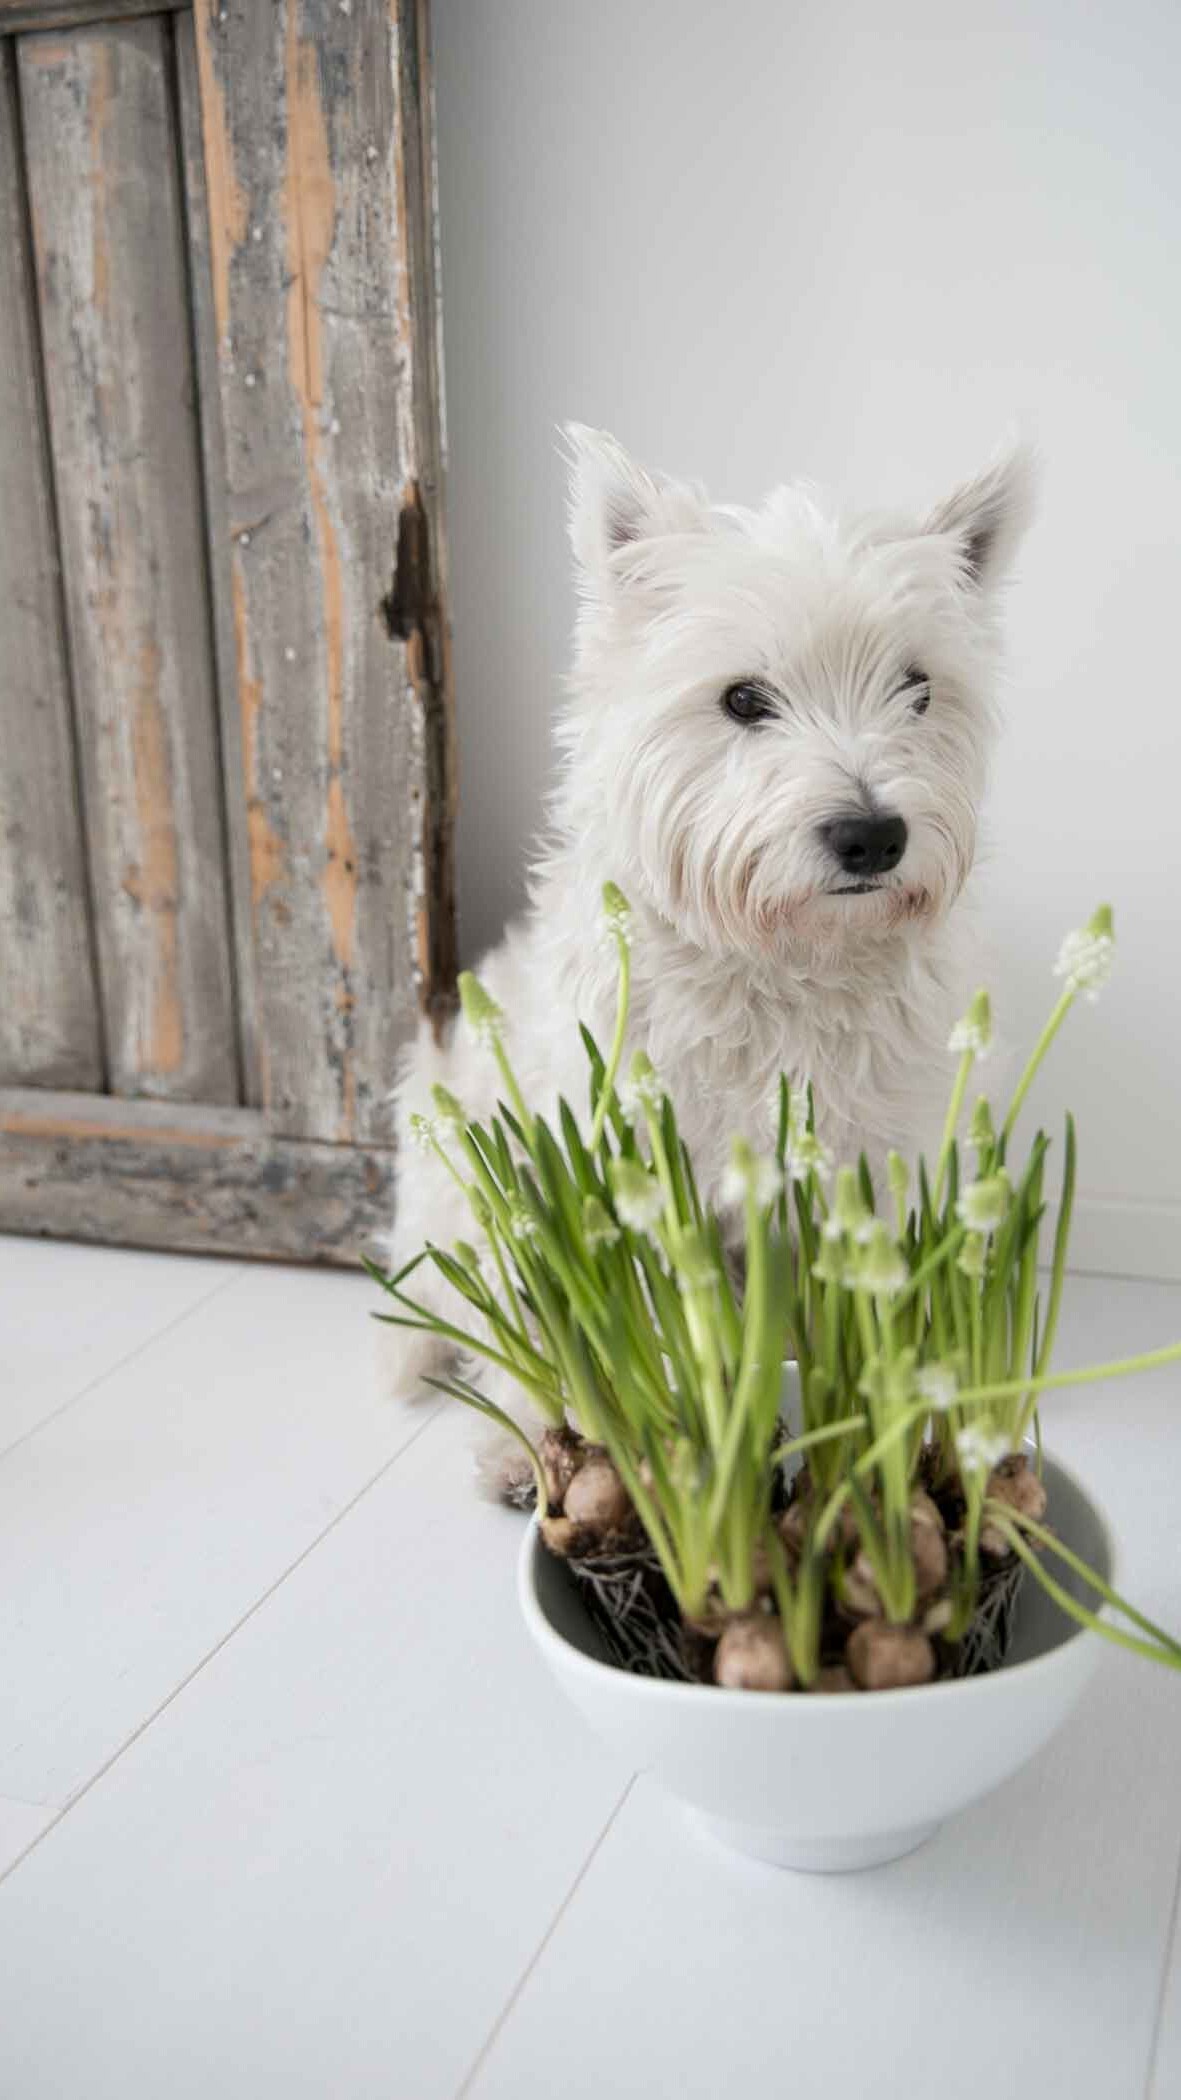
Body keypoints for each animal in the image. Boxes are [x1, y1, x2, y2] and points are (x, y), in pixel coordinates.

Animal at [378, 422, 1029, 1478]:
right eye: (744, 699)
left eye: (918, 688)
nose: (871, 838)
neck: (784, 963)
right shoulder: (616, 1159)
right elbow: (606, 1323)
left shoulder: (871, 1155)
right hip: (457, 1158)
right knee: (470, 1296)